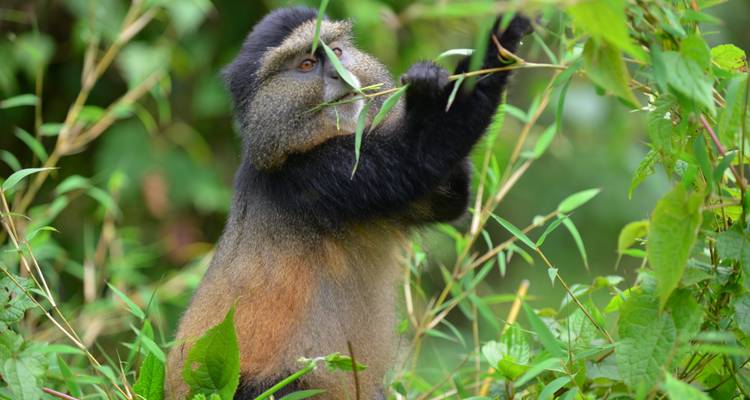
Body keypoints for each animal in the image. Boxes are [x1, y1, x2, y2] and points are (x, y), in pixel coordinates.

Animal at [165, 6, 531, 399]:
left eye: (337, 51)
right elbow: (420, 155)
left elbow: (446, 203)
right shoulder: (320, 175)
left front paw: (429, 79)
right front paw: (501, 38)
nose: (338, 74)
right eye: (307, 64)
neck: (295, 145)